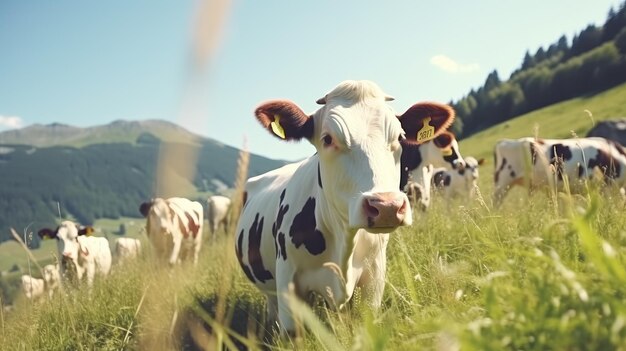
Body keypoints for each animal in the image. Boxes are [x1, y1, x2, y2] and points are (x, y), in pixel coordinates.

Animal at [234, 78, 454, 334]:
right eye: (328, 139)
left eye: (400, 137)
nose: (386, 206)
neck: (342, 240)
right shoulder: (288, 282)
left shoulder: (374, 277)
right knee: (271, 301)